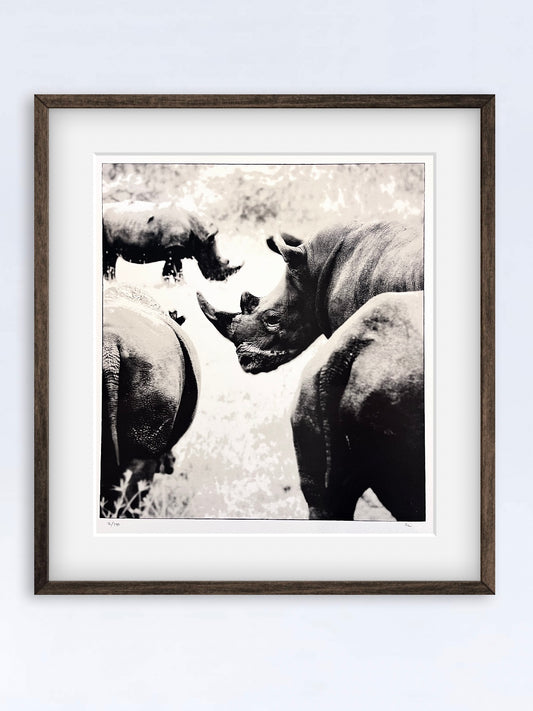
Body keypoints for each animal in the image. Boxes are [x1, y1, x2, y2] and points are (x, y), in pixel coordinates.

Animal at [103, 201, 242, 281]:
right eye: (217, 262)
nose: (221, 279)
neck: (202, 237)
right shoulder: (173, 247)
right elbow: (175, 271)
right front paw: (178, 285)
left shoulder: (174, 250)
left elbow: (171, 271)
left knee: (111, 258)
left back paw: (111, 282)